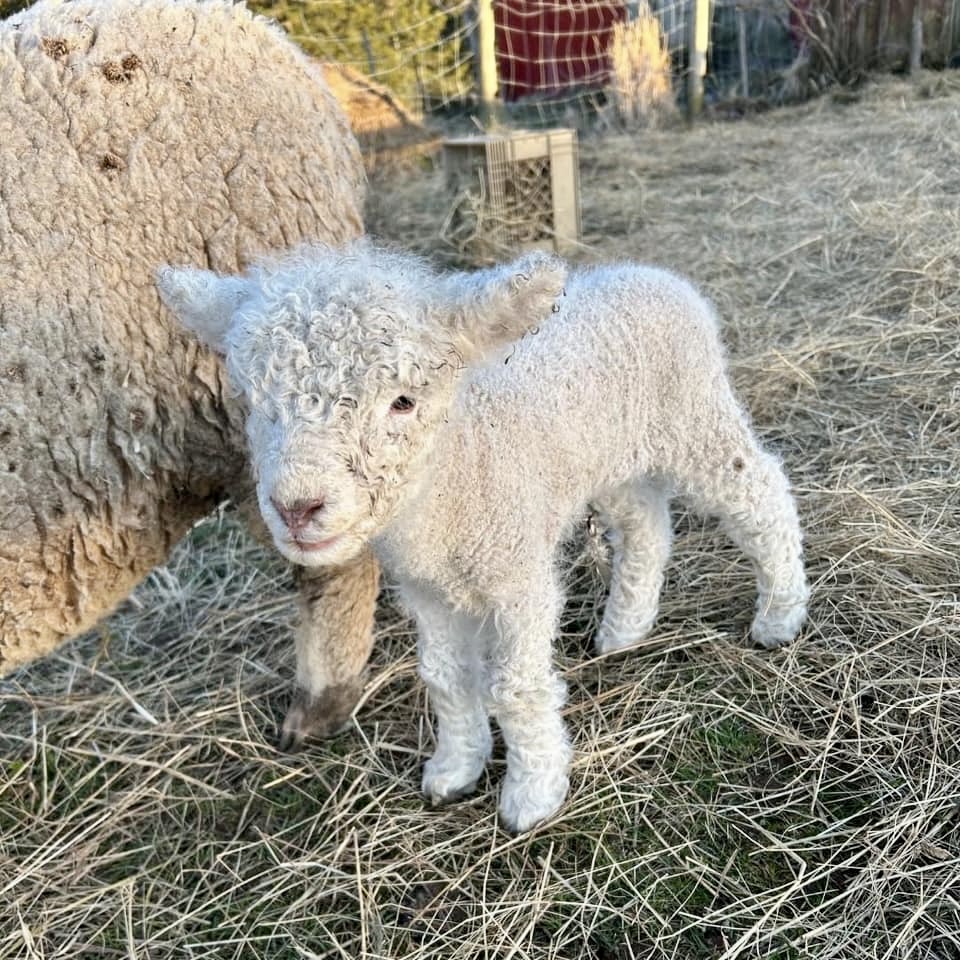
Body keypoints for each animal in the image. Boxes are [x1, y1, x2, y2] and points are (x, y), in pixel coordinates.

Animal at [158, 246, 808, 832]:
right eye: (252, 402)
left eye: (403, 402)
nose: (296, 508)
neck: (452, 478)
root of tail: (653, 273)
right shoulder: (427, 591)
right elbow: (445, 677)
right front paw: (454, 769)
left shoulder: (517, 575)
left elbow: (513, 688)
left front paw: (533, 793)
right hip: (611, 459)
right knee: (644, 523)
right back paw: (624, 630)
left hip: (696, 419)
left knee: (760, 493)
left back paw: (779, 616)